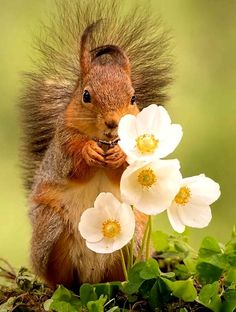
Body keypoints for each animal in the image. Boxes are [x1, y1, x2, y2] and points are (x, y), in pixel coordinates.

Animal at [19, 0, 171, 288]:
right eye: (86, 95)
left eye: (133, 98)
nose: (113, 123)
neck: (104, 142)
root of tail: (91, 275)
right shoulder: (62, 147)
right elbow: (72, 167)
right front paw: (88, 151)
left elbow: (127, 174)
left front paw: (120, 155)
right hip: (50, 229)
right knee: (59, 277)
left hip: (135, 238)